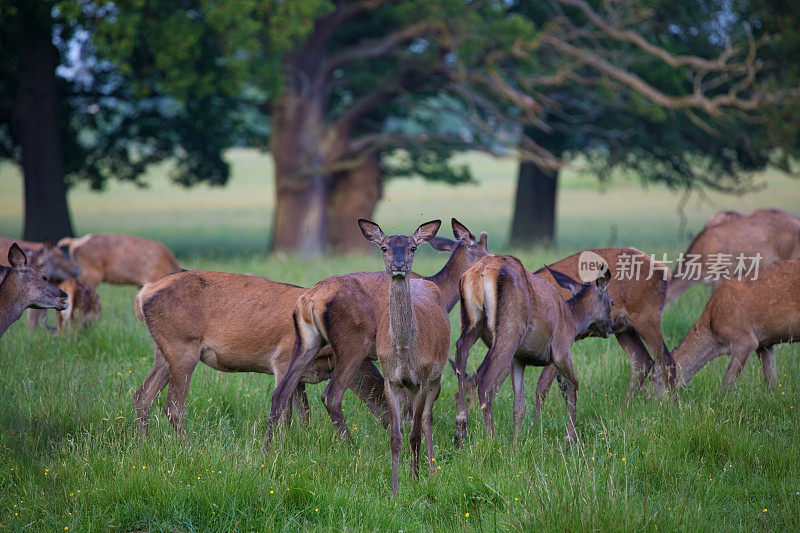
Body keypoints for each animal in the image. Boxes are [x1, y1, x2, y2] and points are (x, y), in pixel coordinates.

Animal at [264, 218, 488, 442]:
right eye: (485, 253)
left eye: (412, 248)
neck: (440, 288)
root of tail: (309, 300)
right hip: (351, 344)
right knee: (331, 396)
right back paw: (349, 443)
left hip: (306, 341)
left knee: (281, 392)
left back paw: (269, 445)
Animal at [450, 256, 612, 446]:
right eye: (612, 303)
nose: (611, 327)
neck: (573, 322)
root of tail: (479, 272)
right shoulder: (560, 350)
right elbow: (571, 384)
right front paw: (569, 437)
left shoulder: (519, 358)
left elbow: (519, 405)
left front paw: (516, 443)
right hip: (510, 330)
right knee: (485, 378)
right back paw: (490, 439)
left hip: (471, 323)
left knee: (461, 351)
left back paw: (460, 428)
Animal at [532, 247, 676, 410]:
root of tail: (663, 270)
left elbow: (544, 384)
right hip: (624, 328)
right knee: (642, 360)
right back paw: (624, 407)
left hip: (647, 315)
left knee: (666, 360)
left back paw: (674, 407)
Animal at [656, 258, 800, 390]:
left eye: (656, 377)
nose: (652, 398)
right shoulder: (764, 343)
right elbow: (771, 381)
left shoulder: (746, 339)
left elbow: (727, 383)